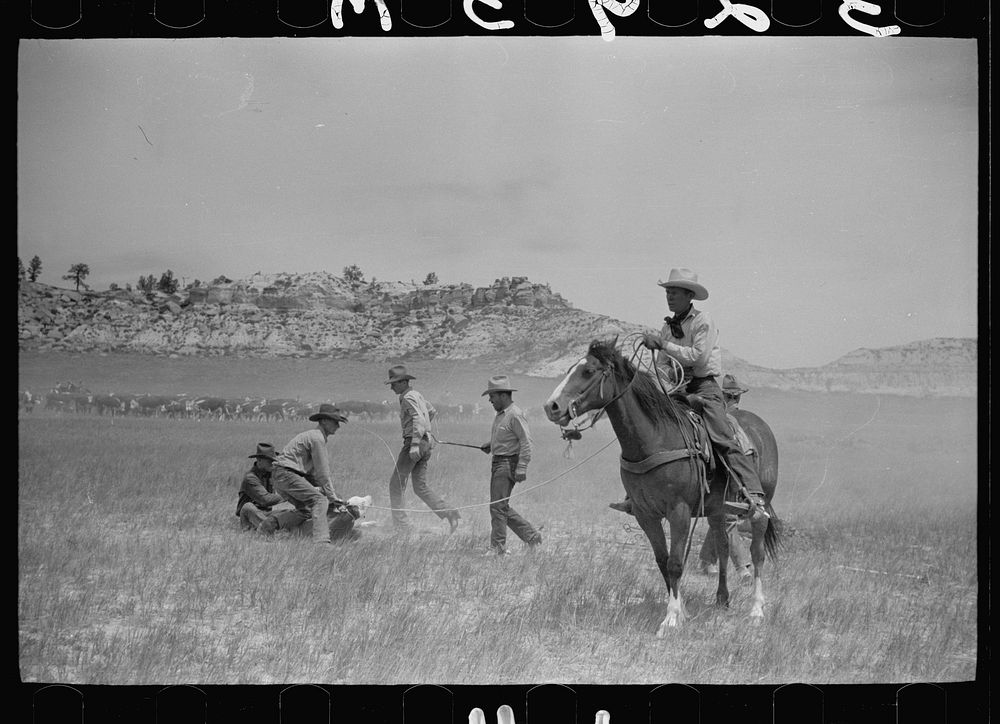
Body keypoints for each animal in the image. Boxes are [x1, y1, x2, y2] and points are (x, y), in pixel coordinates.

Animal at [544, 338, 776, 632]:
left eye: (588, 371)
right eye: (570, 369)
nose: (552, 406)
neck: (656, 439)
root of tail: (761, 426)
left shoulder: (679, 512)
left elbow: (676, 563)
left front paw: (672, 619)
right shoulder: (645, 514)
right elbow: (663, 562)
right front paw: (682, 610)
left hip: (761, 506)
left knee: (757, 552)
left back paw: (756, 609)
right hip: (717, 509)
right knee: (723, 546)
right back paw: (722, 600)